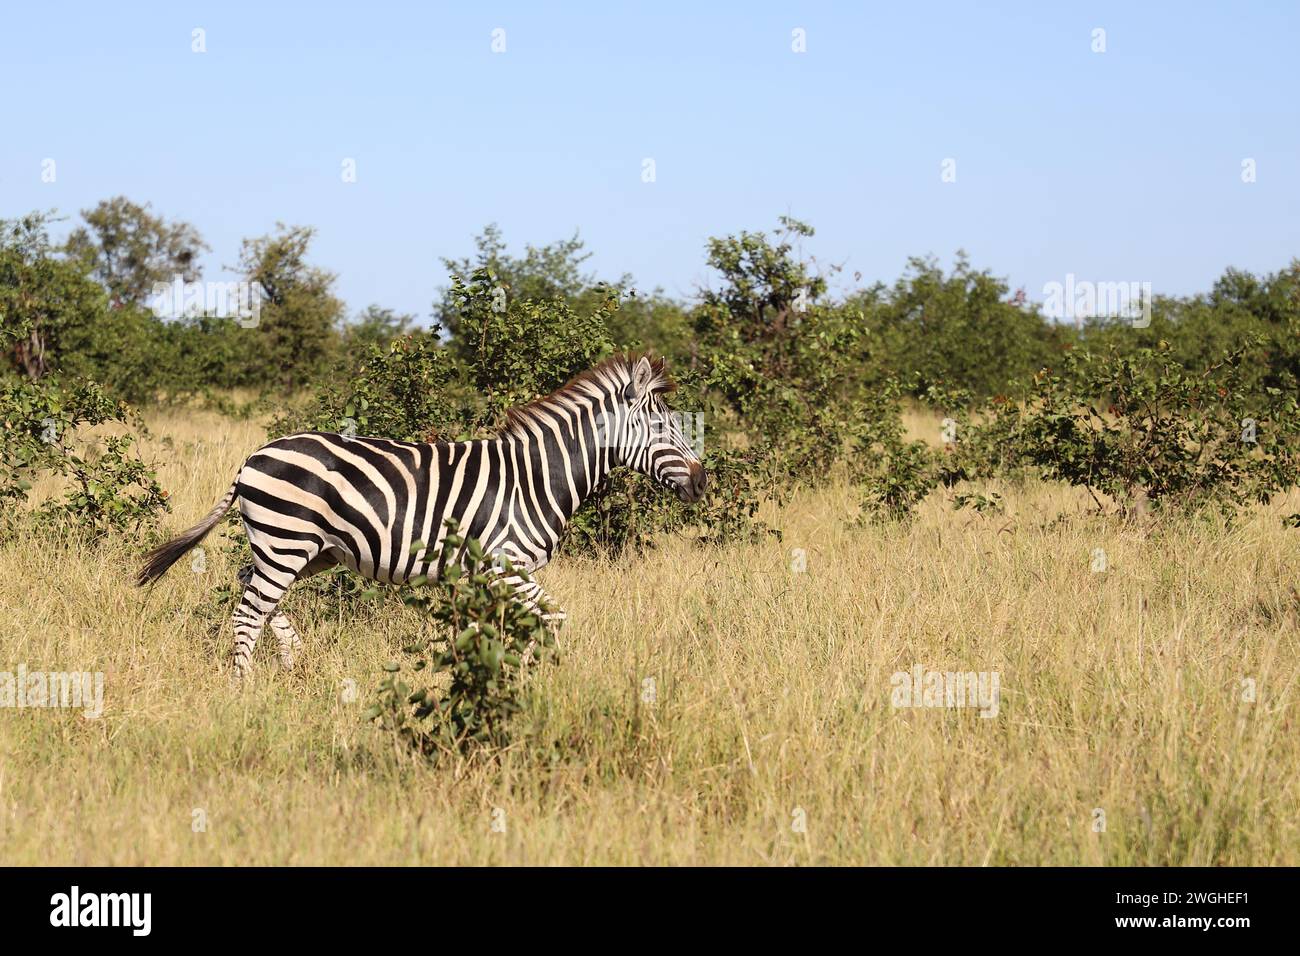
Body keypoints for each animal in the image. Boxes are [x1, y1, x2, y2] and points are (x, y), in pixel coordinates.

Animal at [137, 354, 706, 681]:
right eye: (663, 426)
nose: (702, 483)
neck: (536, 476)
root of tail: (252, 457)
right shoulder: (507, 566)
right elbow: (551, 621)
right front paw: (540, 681)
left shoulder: (485, 575)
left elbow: (490, 631)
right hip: (287, 540)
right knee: (248, 611)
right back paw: (242, 686)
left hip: (306, 549)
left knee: (251, 589)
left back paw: (295, 663)